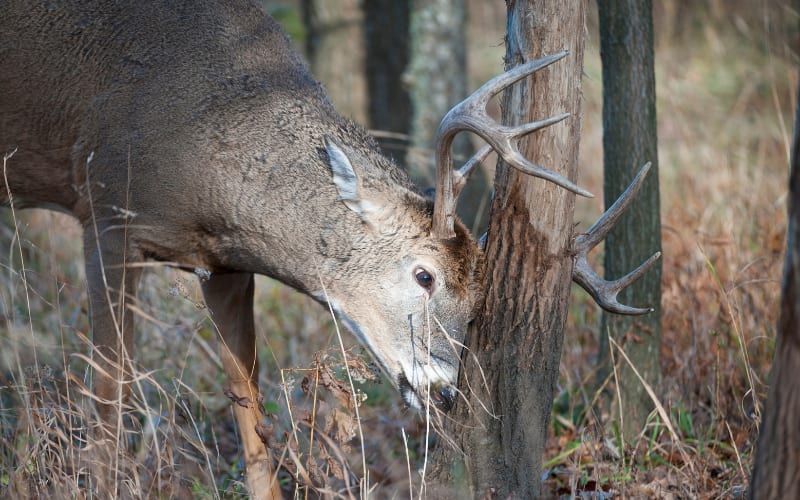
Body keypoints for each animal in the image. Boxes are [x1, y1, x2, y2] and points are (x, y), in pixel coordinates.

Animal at [0, 0, 658, 498]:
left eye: (478, 302)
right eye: (424, 276)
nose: (445, 391)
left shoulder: (225, 265)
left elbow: (250, 406)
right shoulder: (106, 210)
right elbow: (107, 394)